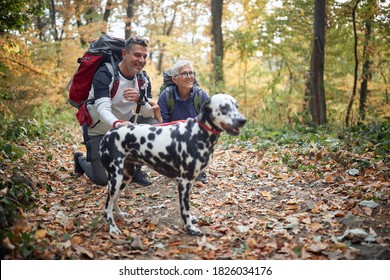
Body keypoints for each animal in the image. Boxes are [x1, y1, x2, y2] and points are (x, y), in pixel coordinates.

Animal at [99, 93, 245, 235]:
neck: (197, 133)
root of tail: (108, 135)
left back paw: (120, 214)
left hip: (125, 177)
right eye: (224, 108)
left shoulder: (190, 182)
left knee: (114, 200)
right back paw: (113, 229)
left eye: (237, 106)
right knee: (107, 206)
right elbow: (185, 209)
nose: (242, 120)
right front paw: (190, 228)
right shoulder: (184, 182)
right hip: (115, 179)